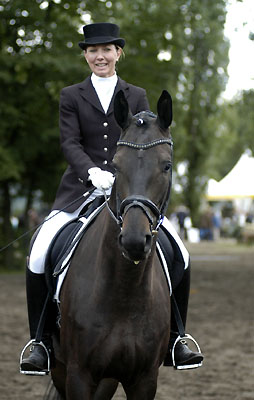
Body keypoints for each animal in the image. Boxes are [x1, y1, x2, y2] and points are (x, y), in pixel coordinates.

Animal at [50, 90, 174, 400]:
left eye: (166, 166)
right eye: (115, 166)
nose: (134, 240)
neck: (124, 290)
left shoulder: (144, 379)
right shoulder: (78, 375)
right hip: (60, 369)